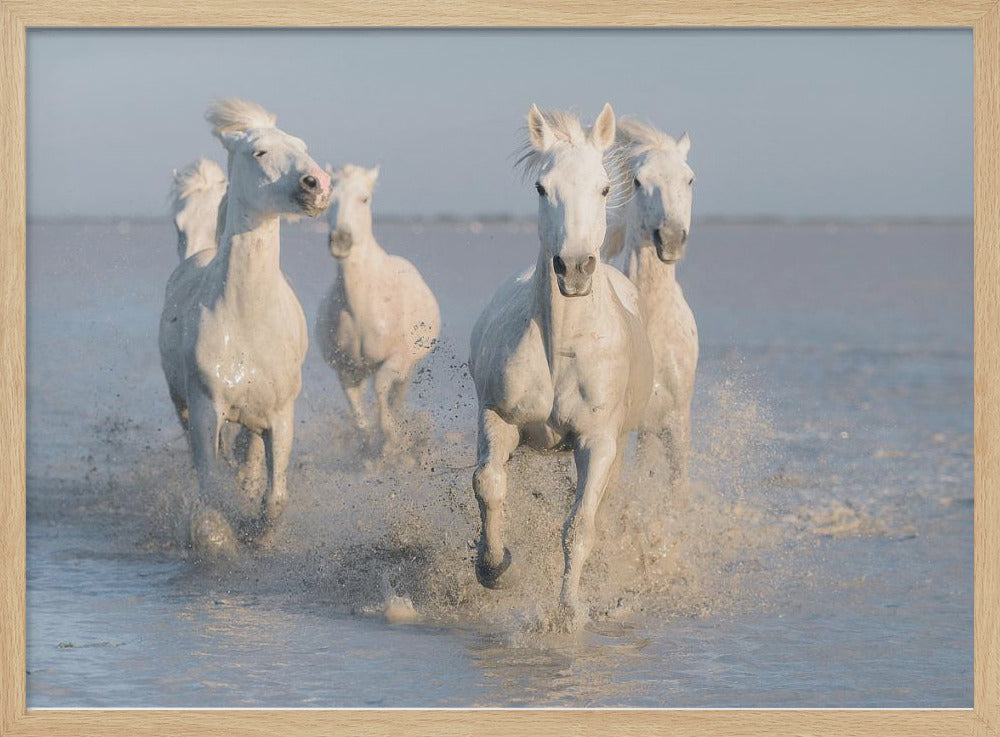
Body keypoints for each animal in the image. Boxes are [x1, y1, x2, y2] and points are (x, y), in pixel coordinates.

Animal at [158, 98, 331, 553]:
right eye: (260, 152)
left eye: (302, 145)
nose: (318, 184)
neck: (247, 321)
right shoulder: (205, 409)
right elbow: (208, 495)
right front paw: (220, 536)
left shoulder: (281, 416)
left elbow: (275, 497)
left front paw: (256, 531)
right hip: (182, 403)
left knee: (249, 452)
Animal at [314, 164, 441, 455]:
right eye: (329, 199)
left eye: (364, 199)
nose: (341, 240)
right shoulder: (346, 370)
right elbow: (358, 413)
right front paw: (368, 446)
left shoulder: (397, 359)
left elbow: (383, 389)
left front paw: (391, 439)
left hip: (409, 366)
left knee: (396, 394)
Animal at [468, 104, 653, 629]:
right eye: (541, 187)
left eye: (605, 188)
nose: (573, 269)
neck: (564, 349)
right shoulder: (498, 417)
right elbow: (488, 484)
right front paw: (494, 567)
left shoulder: (598, 440)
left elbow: (579, 525)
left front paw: (569, 610)